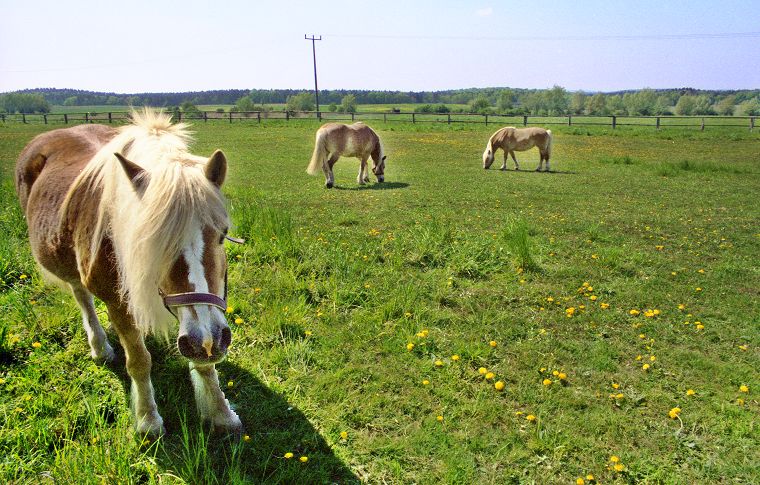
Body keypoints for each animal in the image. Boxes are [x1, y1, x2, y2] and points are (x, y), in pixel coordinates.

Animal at [16, 109, 242, 434]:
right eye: (150, 242)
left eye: (223, 234)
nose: (209, 340)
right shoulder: (117, 302)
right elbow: (138, 360)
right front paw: (148, 420)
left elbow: (205, 363)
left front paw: (221, 413)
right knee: (82, 297)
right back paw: (100, 347)